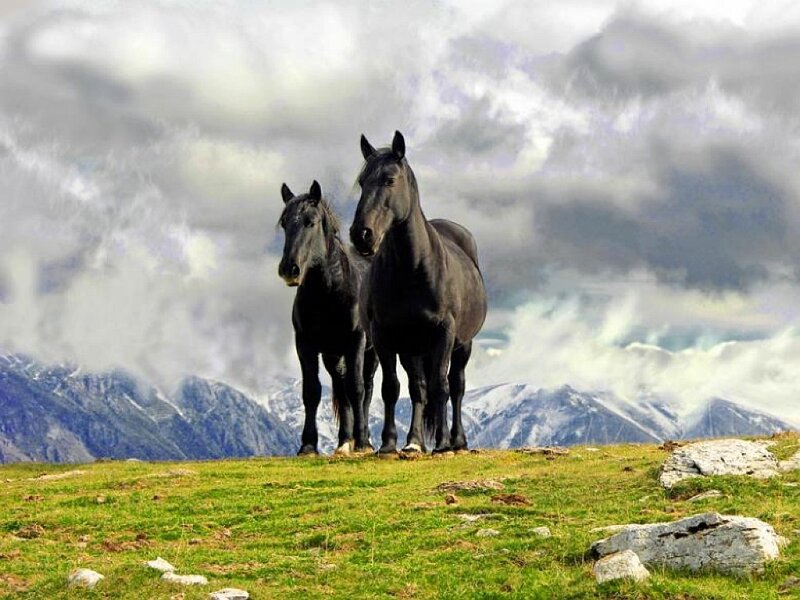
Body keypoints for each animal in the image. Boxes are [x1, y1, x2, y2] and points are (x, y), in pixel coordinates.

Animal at [278, 180, 377, 454]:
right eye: (284, 223)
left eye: (310, 221)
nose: (289, 269)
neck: (329, 295)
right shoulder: (305, 345)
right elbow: (312, 391)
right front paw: (308, 445)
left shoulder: (355, 341)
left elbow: (357, 388)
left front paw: (362, 443)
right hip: (333, 355)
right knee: (340, 388)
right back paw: (344, 441)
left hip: (371, 353)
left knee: (366, 389)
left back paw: (362, 440)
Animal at [349, 131, 487, 454]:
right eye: (362, 182)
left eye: (389, 179)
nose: (361, 235)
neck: (413, 268)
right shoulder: (386, 336)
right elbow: (393, 388)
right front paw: (390, 443)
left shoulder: (445, 332)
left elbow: (442, 387)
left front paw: (444, 443)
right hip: (413, 348)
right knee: (418, 389)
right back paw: (415, 441)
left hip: (462, 345)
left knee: (456, 387)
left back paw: (456, 441)